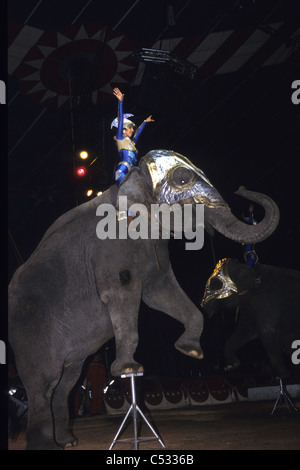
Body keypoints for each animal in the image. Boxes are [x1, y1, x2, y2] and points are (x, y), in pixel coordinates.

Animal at [8, 150, 280, 448]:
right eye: (182, 179)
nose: (241, 189)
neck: (132, 180)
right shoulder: (111, 250)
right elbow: (123, 292)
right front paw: (128, 368)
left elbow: (160, 292)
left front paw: (190, 351)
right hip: (29, 327)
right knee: (43, 383)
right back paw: (45, 445)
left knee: (66, 381)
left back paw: (68, 441)